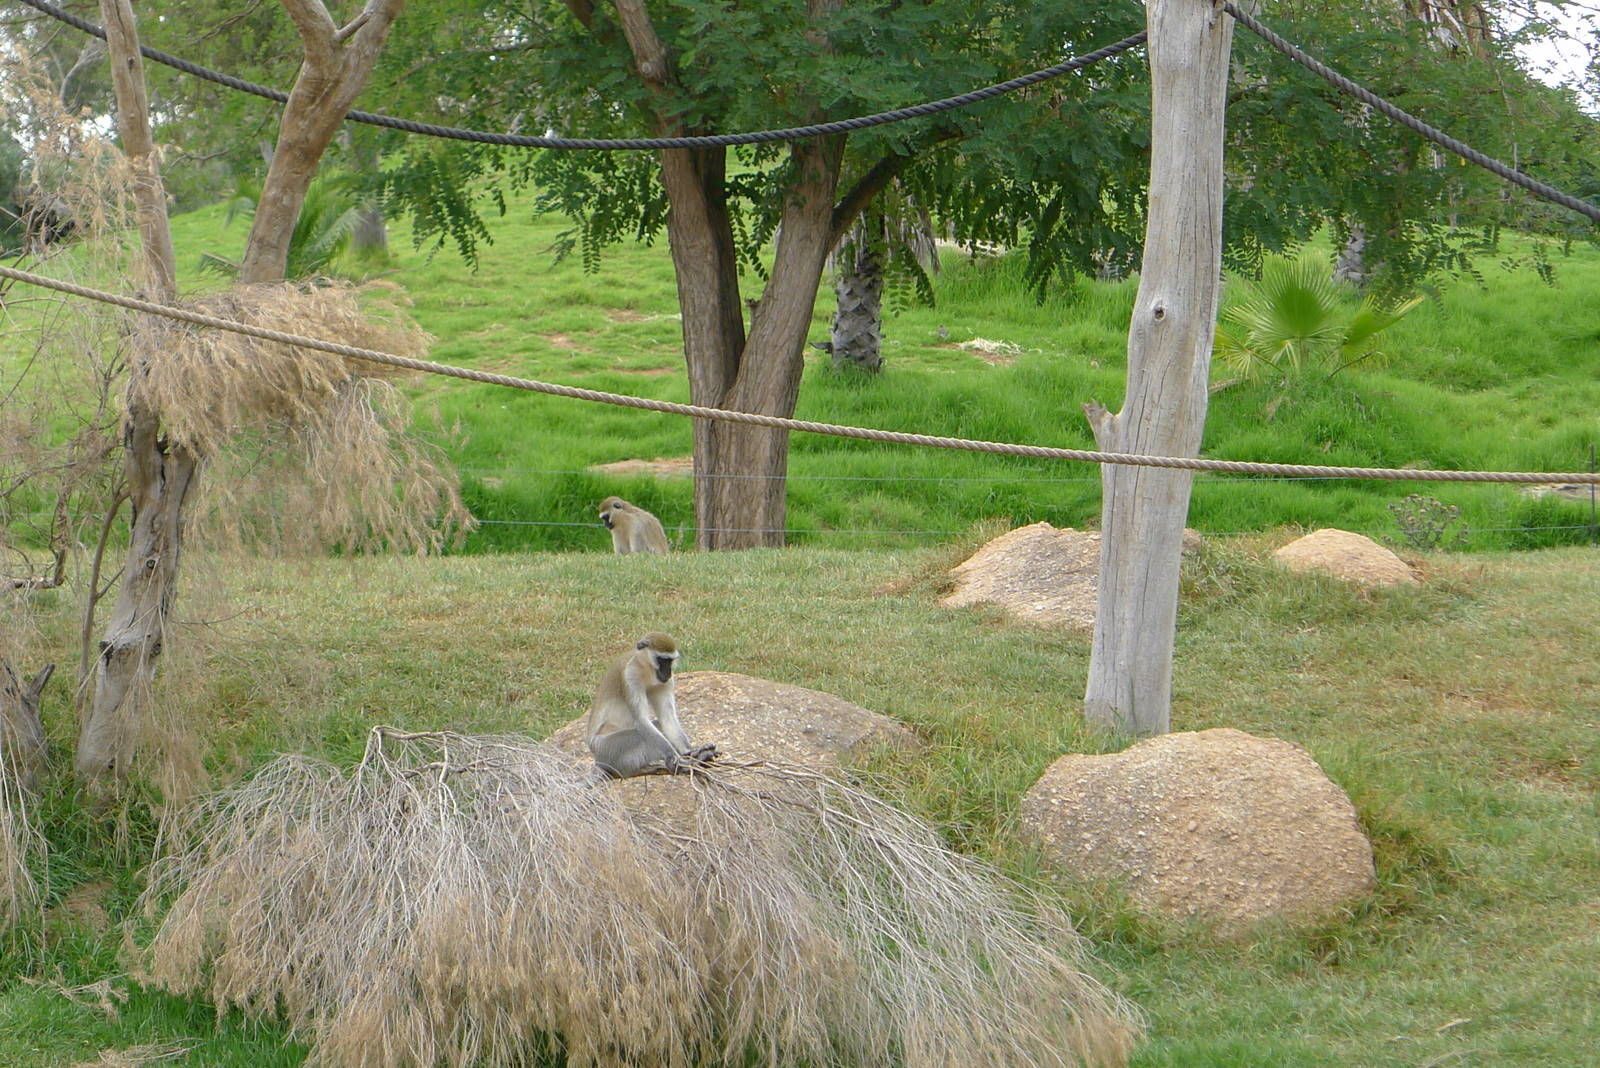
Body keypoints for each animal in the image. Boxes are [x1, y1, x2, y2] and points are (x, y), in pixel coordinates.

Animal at [585, 632, 719, 780]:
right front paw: (676, 758)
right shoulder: (630, 676)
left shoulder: (665, 682)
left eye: (670, 661)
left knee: (658, 726)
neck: (645, 668)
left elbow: (667, 718)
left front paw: (690, 751)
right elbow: (642, 721)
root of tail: (597, 758)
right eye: (662, 660)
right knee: (640, 738)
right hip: (607, 749)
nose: (668, 672)